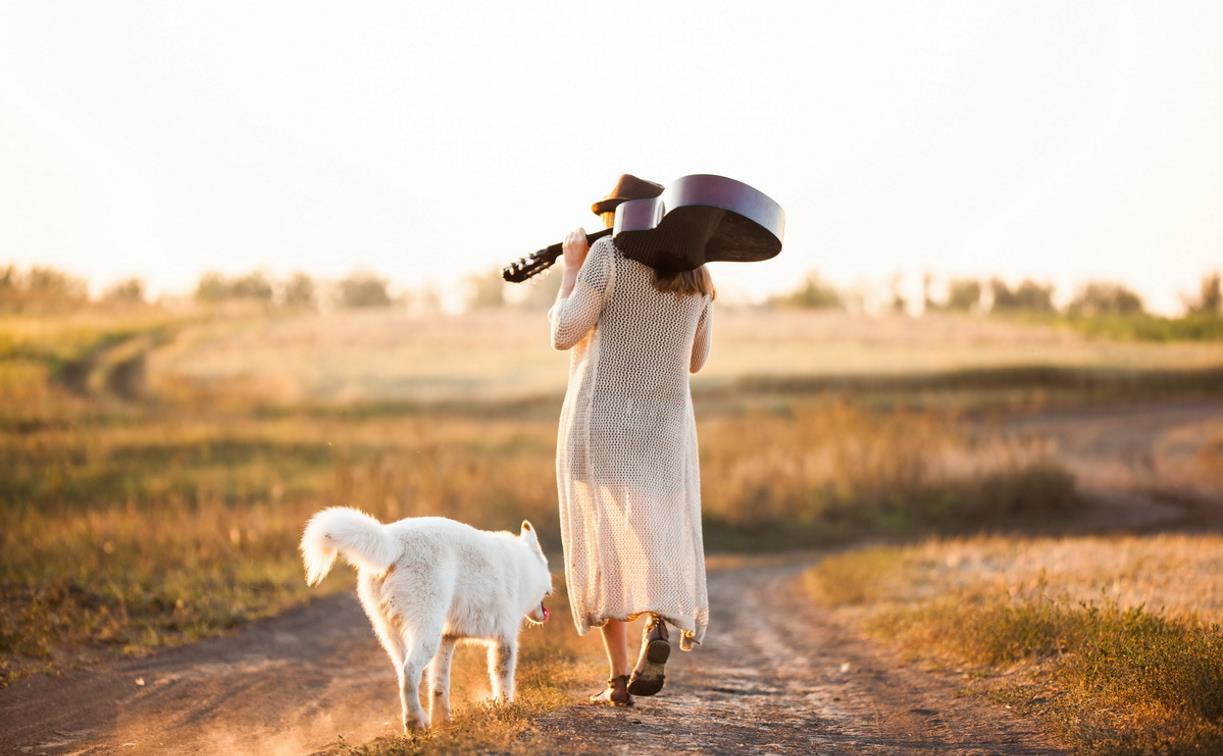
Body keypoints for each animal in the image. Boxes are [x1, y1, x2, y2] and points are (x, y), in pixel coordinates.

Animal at [300, 506, 555, 729]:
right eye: (547, 564)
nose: (551, 591)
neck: (524, 567)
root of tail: (395, 541)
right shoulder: (504, 640)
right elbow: (503, 678)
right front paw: (506, 707)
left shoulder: (447, 640)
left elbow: (439, 685)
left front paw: (442, 721)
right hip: (425, 632)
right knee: (410, 671)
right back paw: (415, 723)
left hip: (394, 636)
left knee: (402, 675)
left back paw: (418, 721)